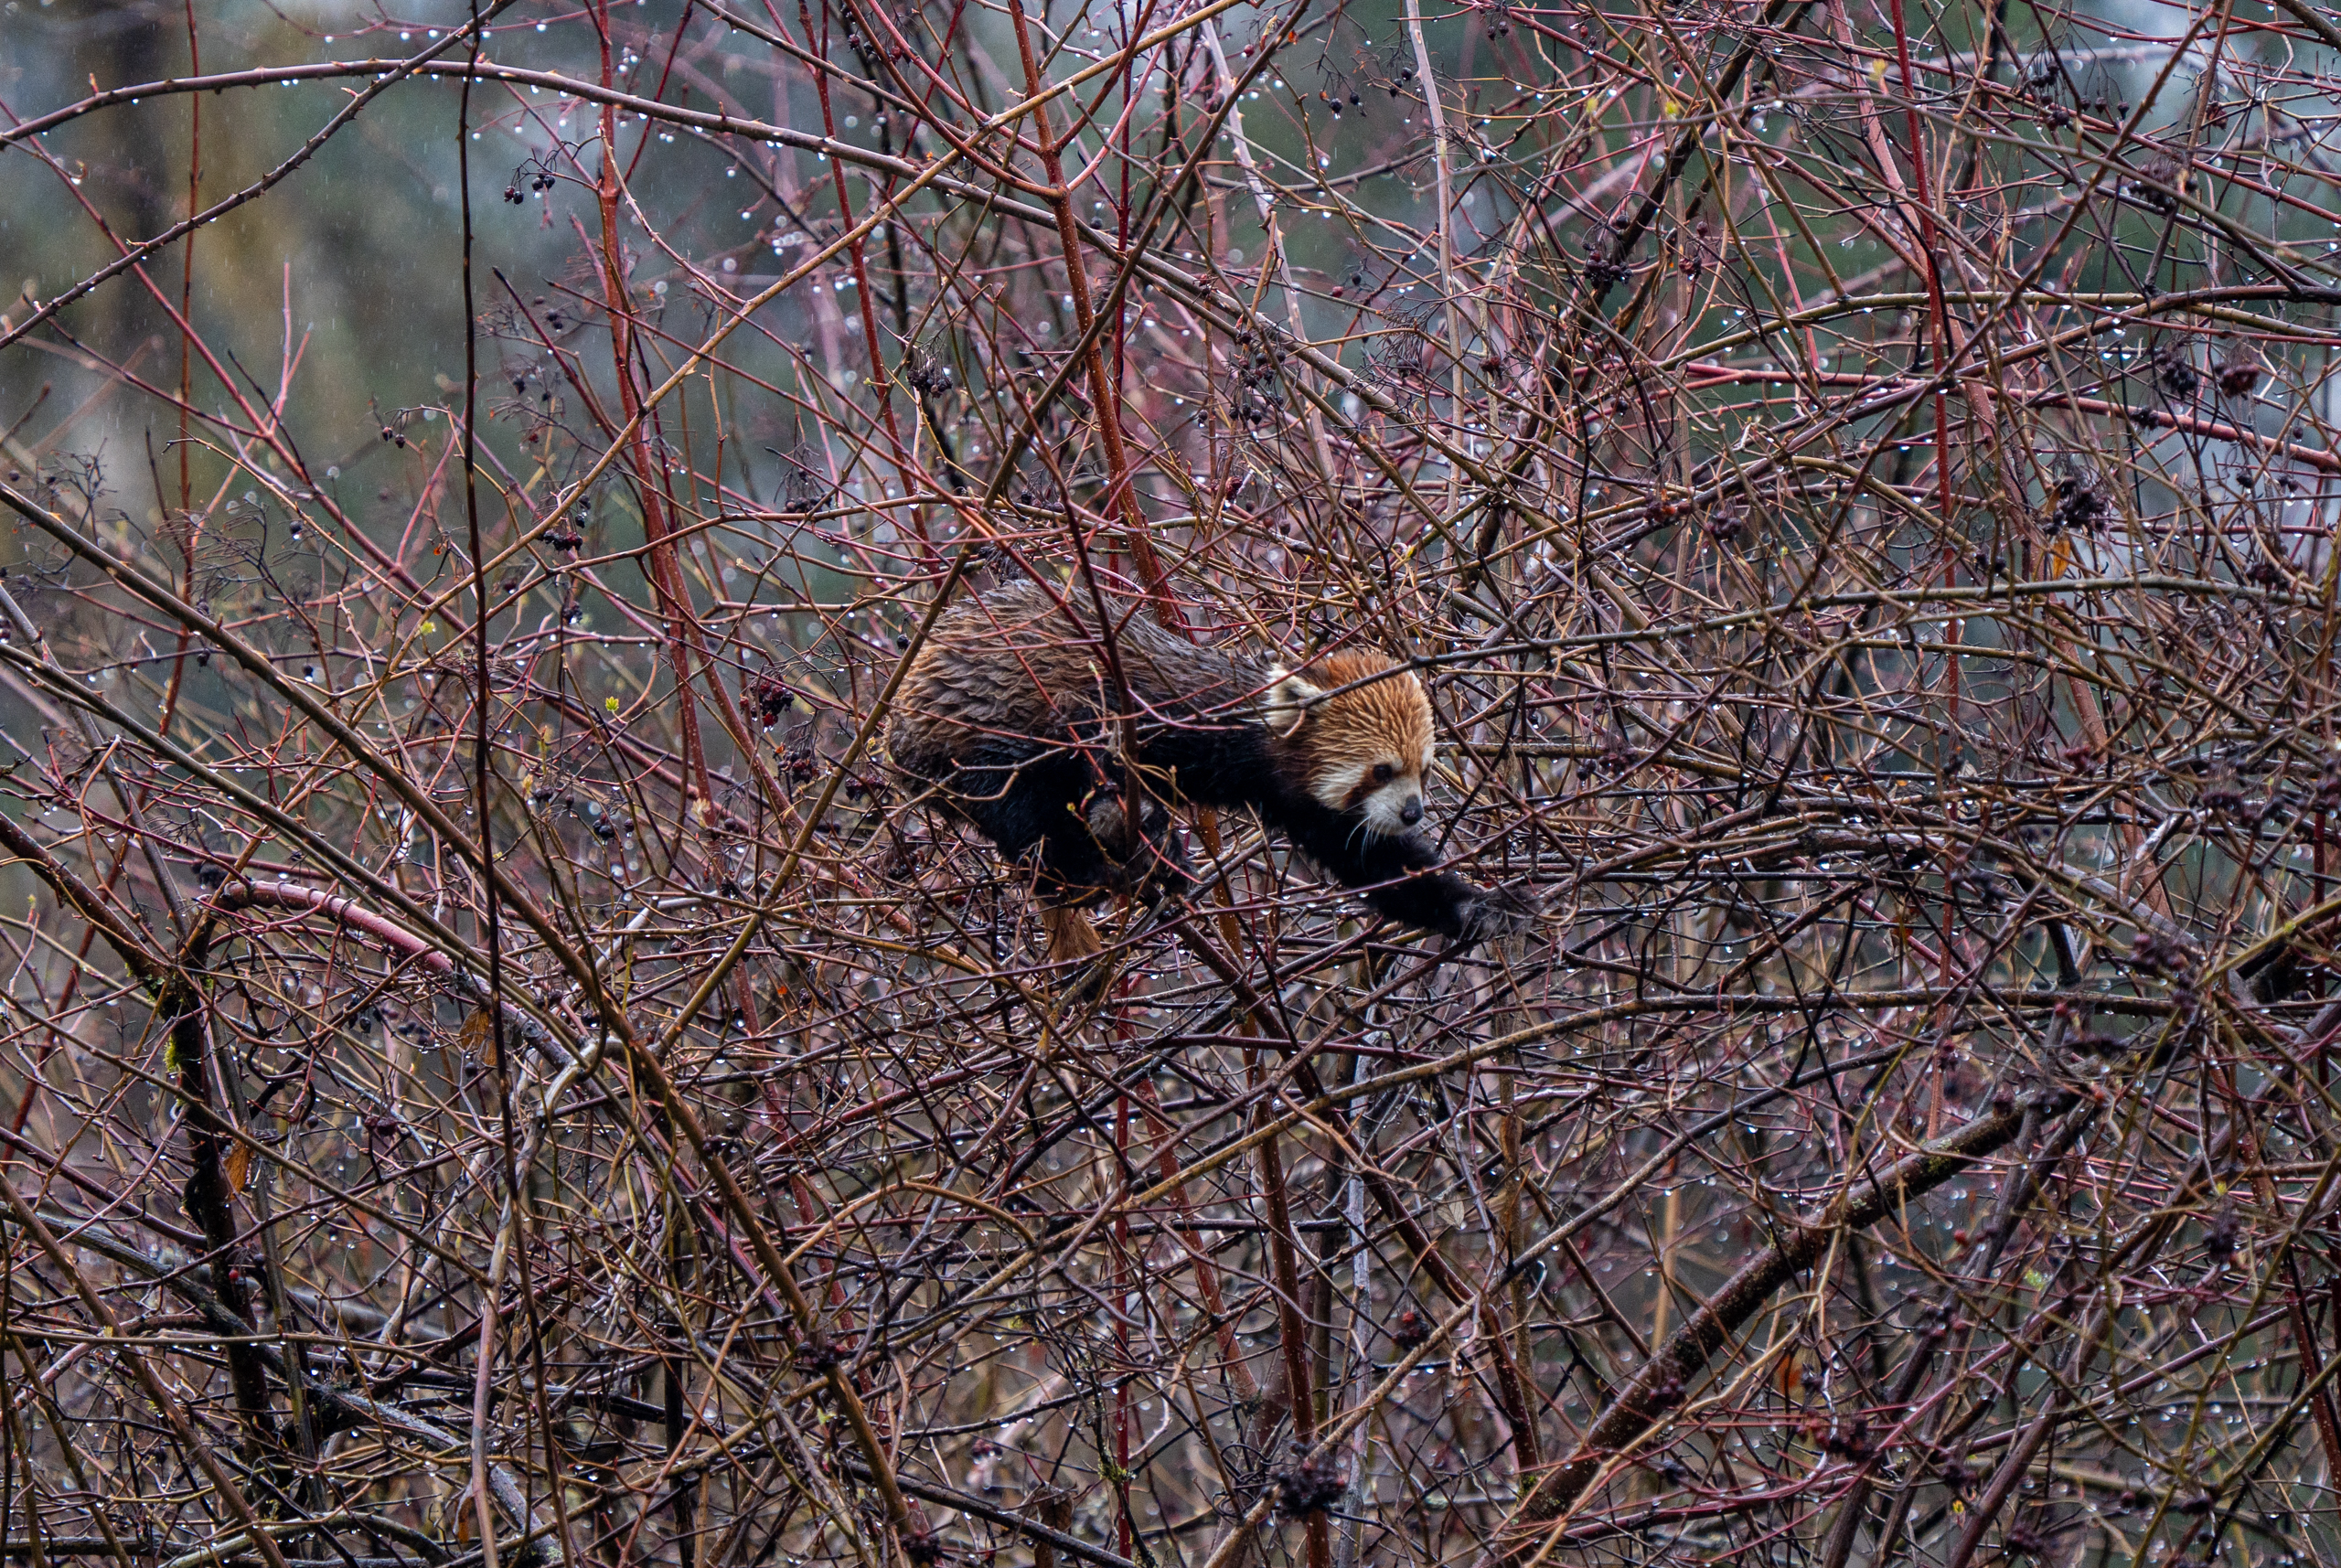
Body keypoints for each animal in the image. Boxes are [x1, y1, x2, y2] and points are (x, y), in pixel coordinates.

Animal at [887, 577, 1542, 968]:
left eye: (1424, 770)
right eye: (1381, 770)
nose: (1413, 811)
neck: (1242, 742)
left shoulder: (1300, 799)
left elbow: (1377, 864)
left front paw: (1479, 907)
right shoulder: (1129, 706)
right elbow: (1088, 744)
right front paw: (1134, 825)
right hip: (973, 741)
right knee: (1026, 812)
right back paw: (1106, 861)